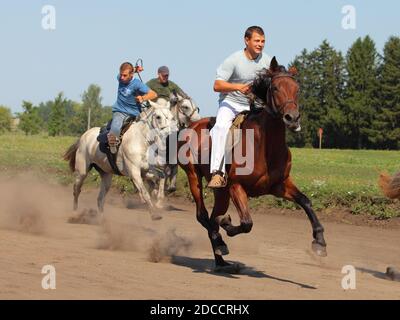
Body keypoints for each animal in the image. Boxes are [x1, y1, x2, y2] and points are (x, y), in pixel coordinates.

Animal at [179, 57, 328, 272]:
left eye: (297, 89)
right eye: (275, 87)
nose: (292, 118)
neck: (265, 145)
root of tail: (191, 125)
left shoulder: (279, 185)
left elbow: (306, 201)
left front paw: (320, 241)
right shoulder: (236, 186)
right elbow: (246, 223)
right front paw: (227, 224)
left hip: (221, 192)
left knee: (213, 217)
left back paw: (221, 261)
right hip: (194, 177)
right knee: (203, 216)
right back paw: (220, 243)